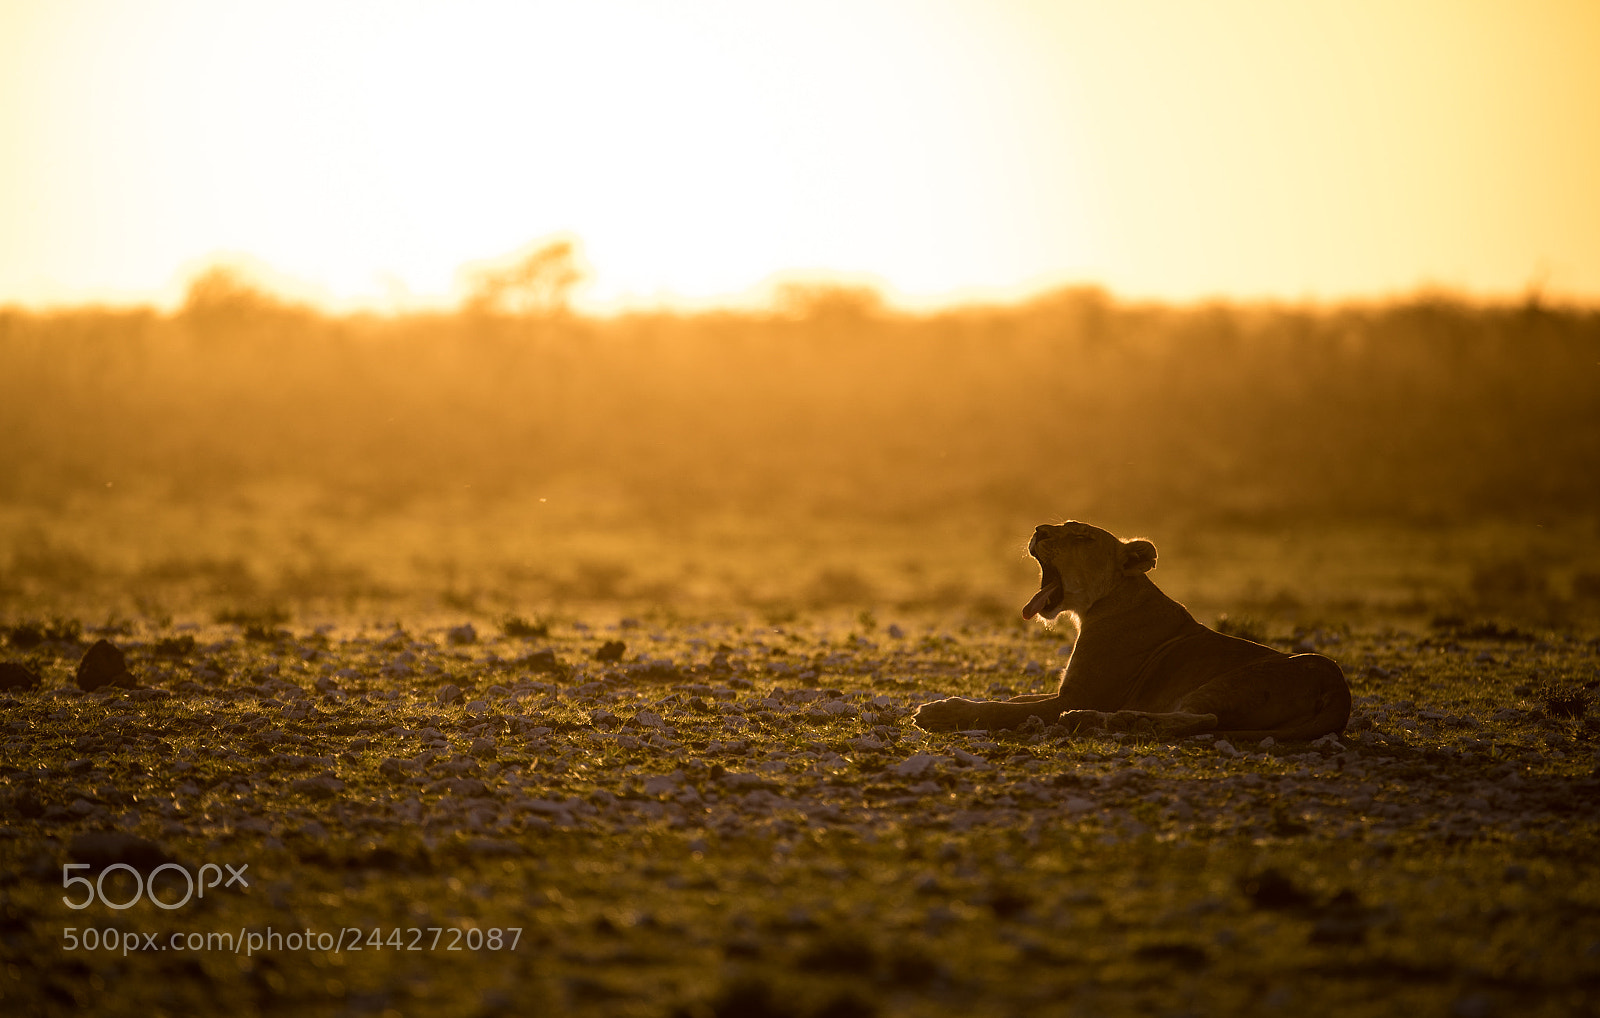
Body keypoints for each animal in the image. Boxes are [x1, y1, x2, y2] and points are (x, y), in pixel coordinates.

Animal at [912, 521, 1351, 740]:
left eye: (1082, 536)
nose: (1039, 530)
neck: (1097, 606)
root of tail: (1340, 690)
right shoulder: (1064, 690)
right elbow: (1017, 698)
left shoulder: (1080, 693)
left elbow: (997, 708)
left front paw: (939, 710)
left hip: (1231, 681)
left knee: (1200, 720)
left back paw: (1098, 721)